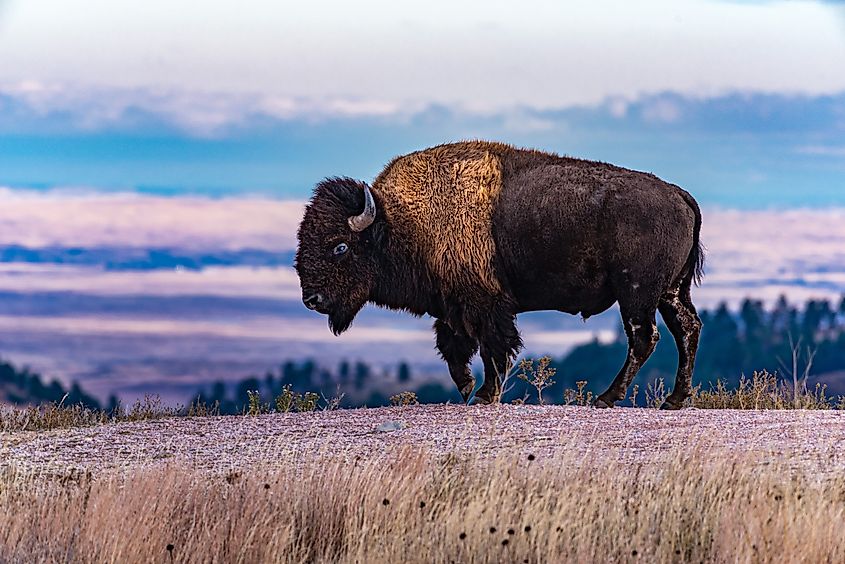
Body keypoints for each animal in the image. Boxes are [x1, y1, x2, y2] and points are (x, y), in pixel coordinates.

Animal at [295, 141, 703, 408]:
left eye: (340, 246)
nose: (311, 299)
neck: (402, 222)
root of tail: (680, 195)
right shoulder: (452, 306)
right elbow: (454, 347)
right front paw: (466, 388)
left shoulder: (485, 305)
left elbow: (493, 348)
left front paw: (482, 395)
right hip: (670, 292)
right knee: (687, 329)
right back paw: (674, 400)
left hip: (636, 293)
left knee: (644, 337)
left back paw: (606, 398)